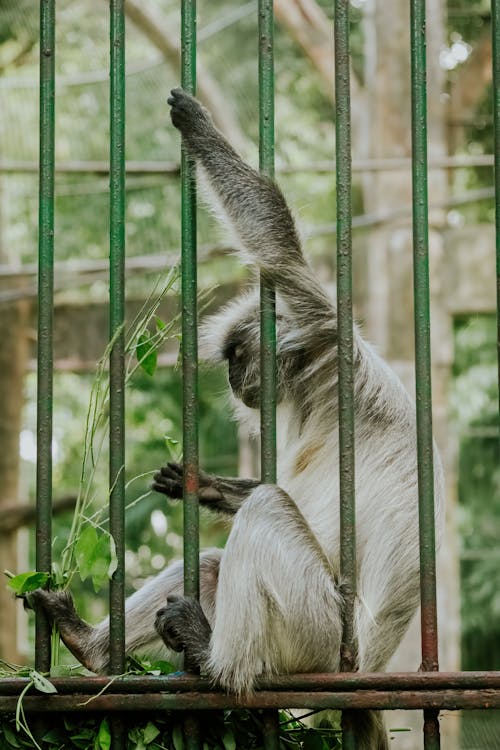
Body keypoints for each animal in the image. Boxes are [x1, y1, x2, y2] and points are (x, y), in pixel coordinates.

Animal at [30, 89, 446, 750]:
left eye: (235, 357)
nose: (229, 380)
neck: (315, 386)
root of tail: (369, 664)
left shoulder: (324, 326)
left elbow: (277, 252)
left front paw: (197, 126)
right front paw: (202, 485)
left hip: (321, 635)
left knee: (269, 511)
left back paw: (213, 659)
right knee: (214, 559)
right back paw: (91, 648)